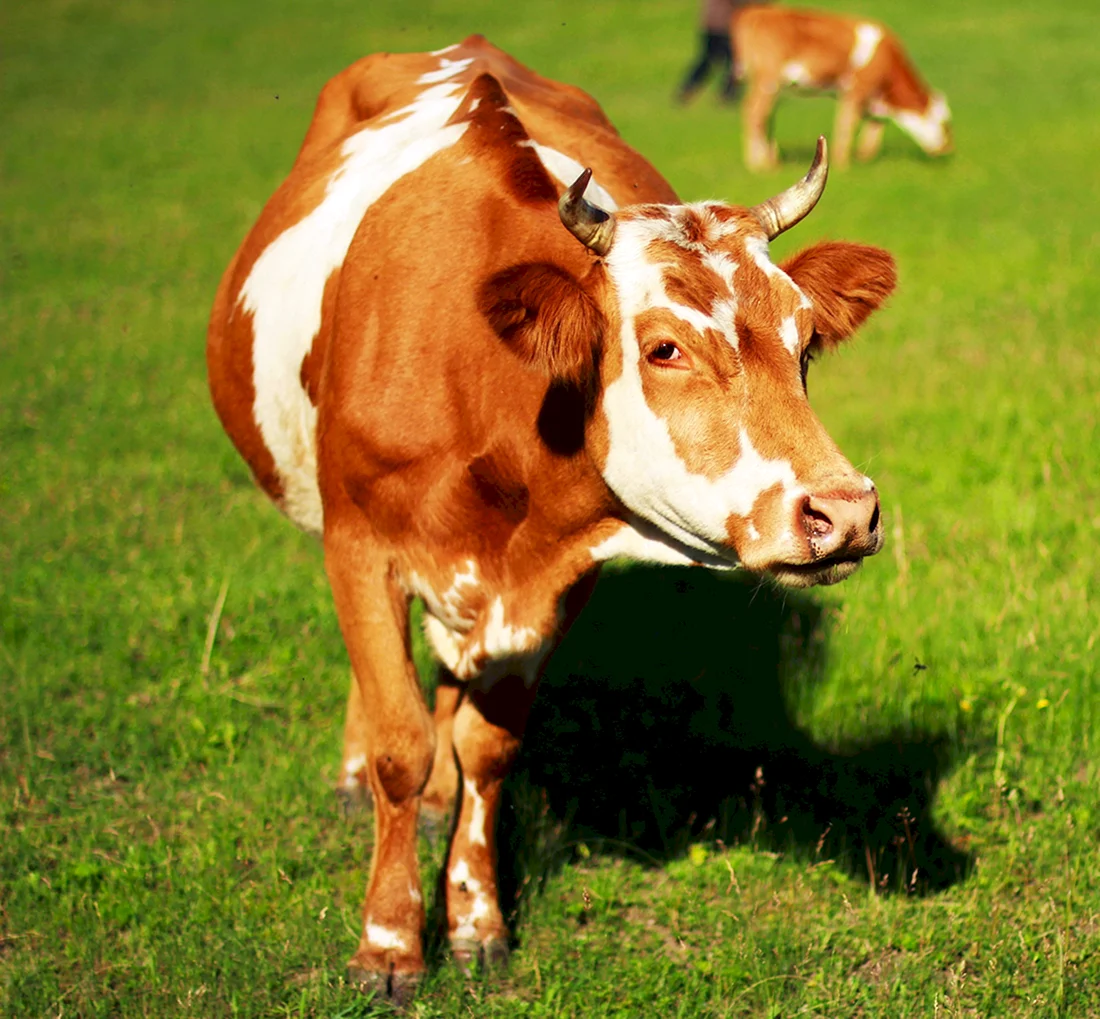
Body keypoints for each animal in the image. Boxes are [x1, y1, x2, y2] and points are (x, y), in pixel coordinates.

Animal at [207, 34, 896, 1002]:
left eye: (806, 344)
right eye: (664, 347)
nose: (844, 510)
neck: (480, 385)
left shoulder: (554, 580)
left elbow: (486, 746)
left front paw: (475, 917)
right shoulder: (361, 544)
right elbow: (396, 741)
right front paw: (388, 941)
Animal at [732, 5, 952, 171]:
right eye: (945, 123)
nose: (948, 149)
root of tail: (756, 12)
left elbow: (875, 126)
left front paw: (864, 156)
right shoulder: (858, 88)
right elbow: (847, 123)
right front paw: (842, 164)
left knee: (764, 116)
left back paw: (772, 161)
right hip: (767, 80)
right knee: (754, 112)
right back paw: (759, 165)